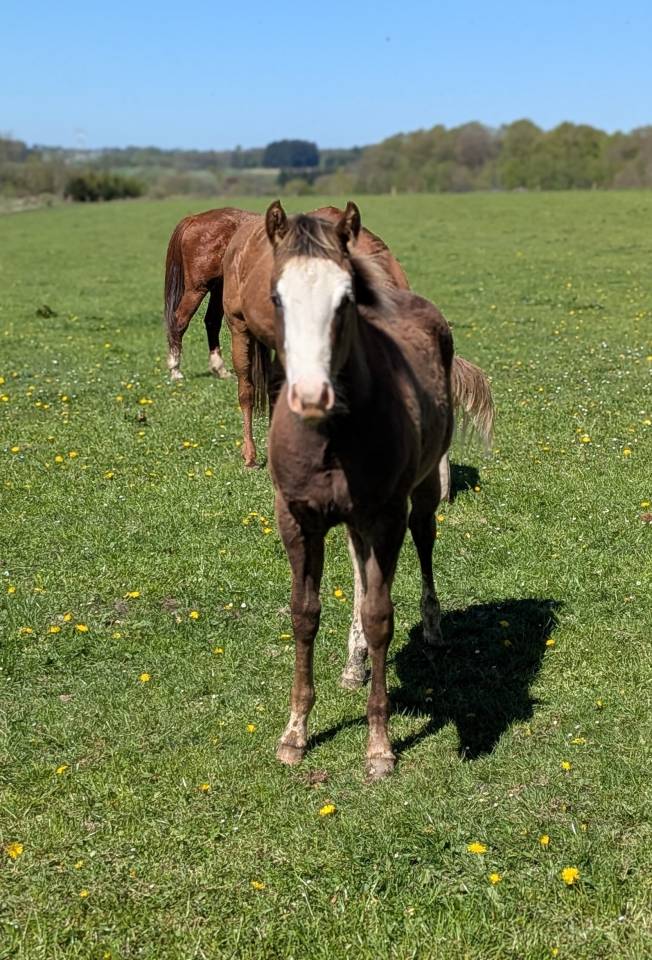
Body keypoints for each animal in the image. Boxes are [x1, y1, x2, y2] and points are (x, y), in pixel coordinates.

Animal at [262, 200, 455, 780]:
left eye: (344, 299)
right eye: (276, 297)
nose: (310, 395)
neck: (331, 439)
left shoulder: (385, 515)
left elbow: (379, 615)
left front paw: (379, 746)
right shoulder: (297, 517)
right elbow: (304, 613)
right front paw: (295, 734)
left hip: (421, 491)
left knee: (424, 539)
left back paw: (432, 628)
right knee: (357, 569)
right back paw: (353, 663)